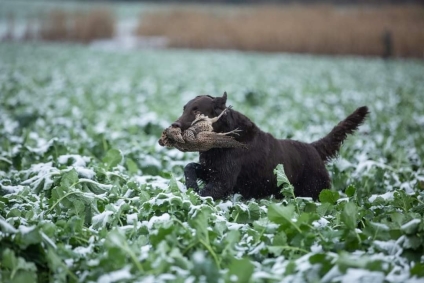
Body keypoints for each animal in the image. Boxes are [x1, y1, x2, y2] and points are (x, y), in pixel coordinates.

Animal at [171, 92, 370, 200]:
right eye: (184, 108)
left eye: (196, 110)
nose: (175, 125)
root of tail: (313, 148)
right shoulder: (211, 170)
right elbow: (189, 167)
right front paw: (191, 187)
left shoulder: (223, 182)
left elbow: (205, 194)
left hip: (315, 192)